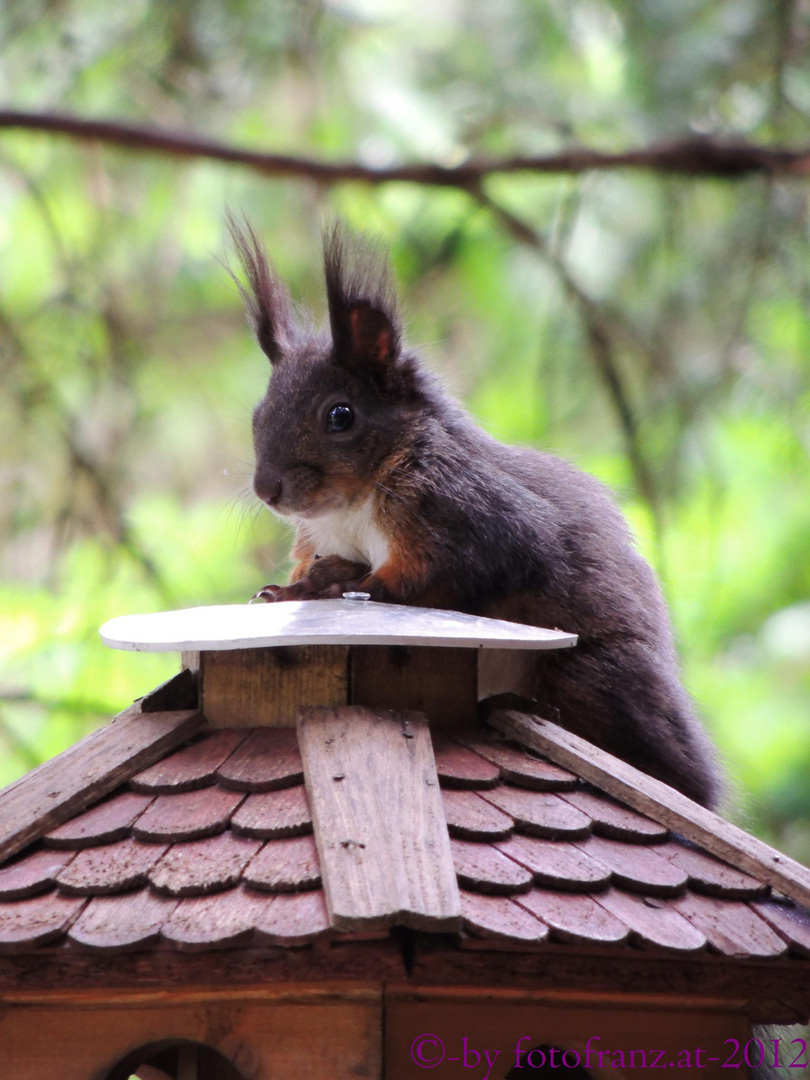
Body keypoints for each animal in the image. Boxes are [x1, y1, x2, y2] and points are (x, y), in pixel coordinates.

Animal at [231, 219, 725, 812]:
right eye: (257, 414)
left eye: (340, 415)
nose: (267, 489)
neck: (350, 508)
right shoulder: (320, 537)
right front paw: (292, 589)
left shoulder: (472, 516)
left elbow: (424, 579)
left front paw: (336, 587)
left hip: (592, 676)